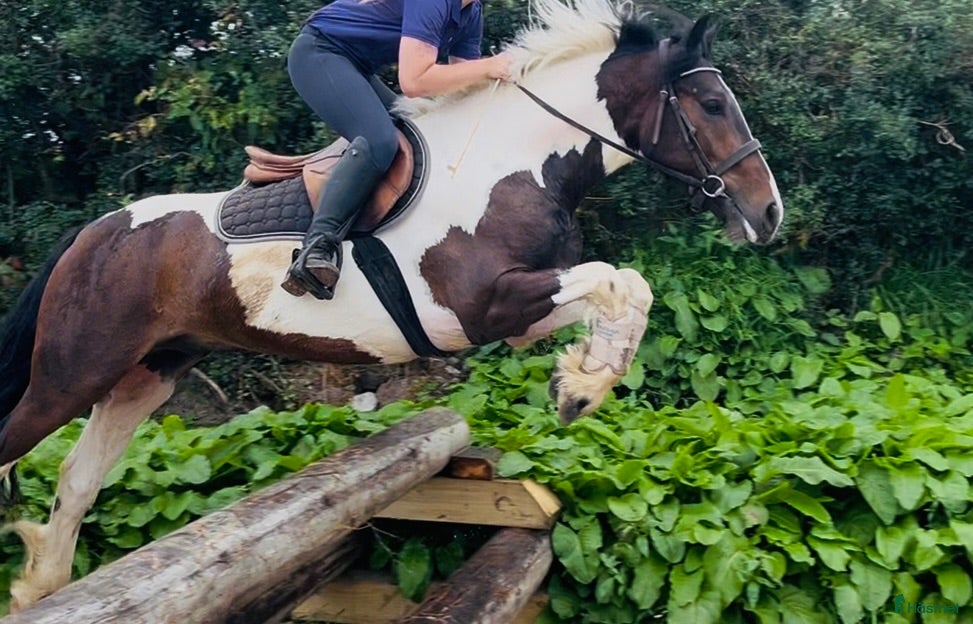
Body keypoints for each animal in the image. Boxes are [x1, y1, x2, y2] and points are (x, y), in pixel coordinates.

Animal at [0, 0, 782, 611]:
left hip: (145, 374)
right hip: (72, 372)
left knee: (76, 483)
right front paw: (583, 388)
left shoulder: (518, 312)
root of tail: (94, 233)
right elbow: (615, 279)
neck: (513, 165)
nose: (768, 214)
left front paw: (578, 382)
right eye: (712, 106)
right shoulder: (483, 303)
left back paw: (43, 587)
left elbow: (626, 288)